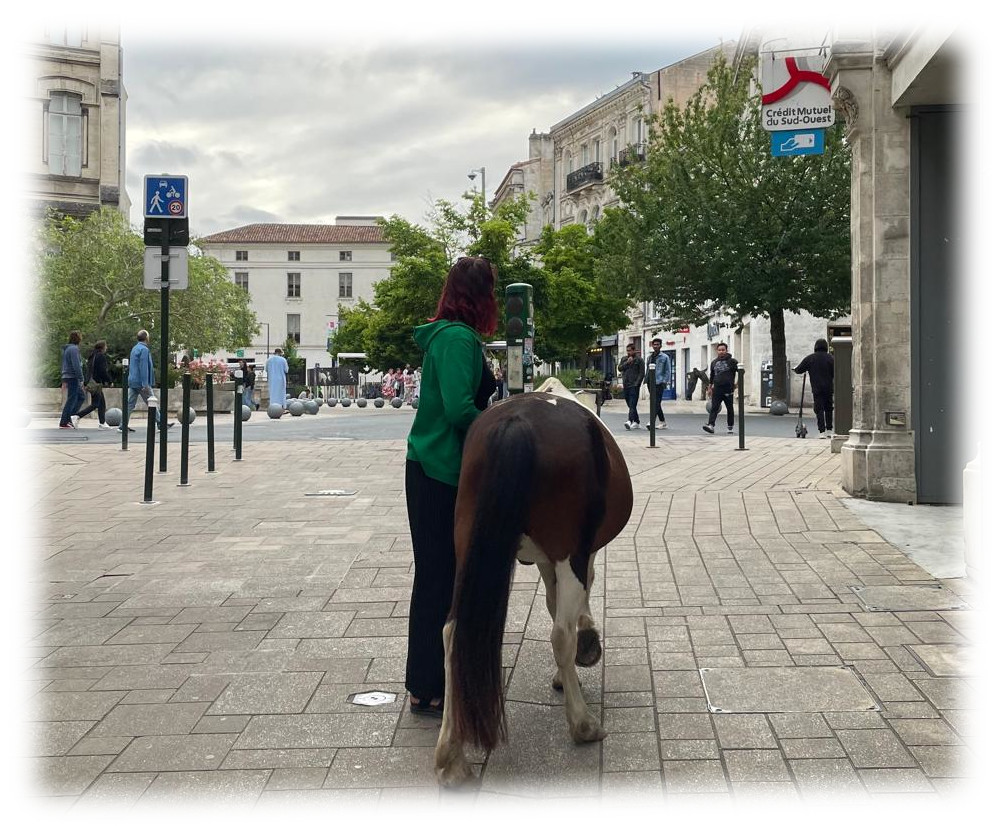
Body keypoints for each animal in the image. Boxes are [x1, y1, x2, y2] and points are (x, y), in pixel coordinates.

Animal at [436, 384, 636, 784]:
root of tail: (517, 421)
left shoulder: (545, 559)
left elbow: (551, 601)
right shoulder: (579, 553)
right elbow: (572, 606)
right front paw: (584, 648)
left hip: (468, 542)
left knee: (452, 631)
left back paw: (452, 756)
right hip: (568, 550)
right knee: (561, 634)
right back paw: (583, 724)